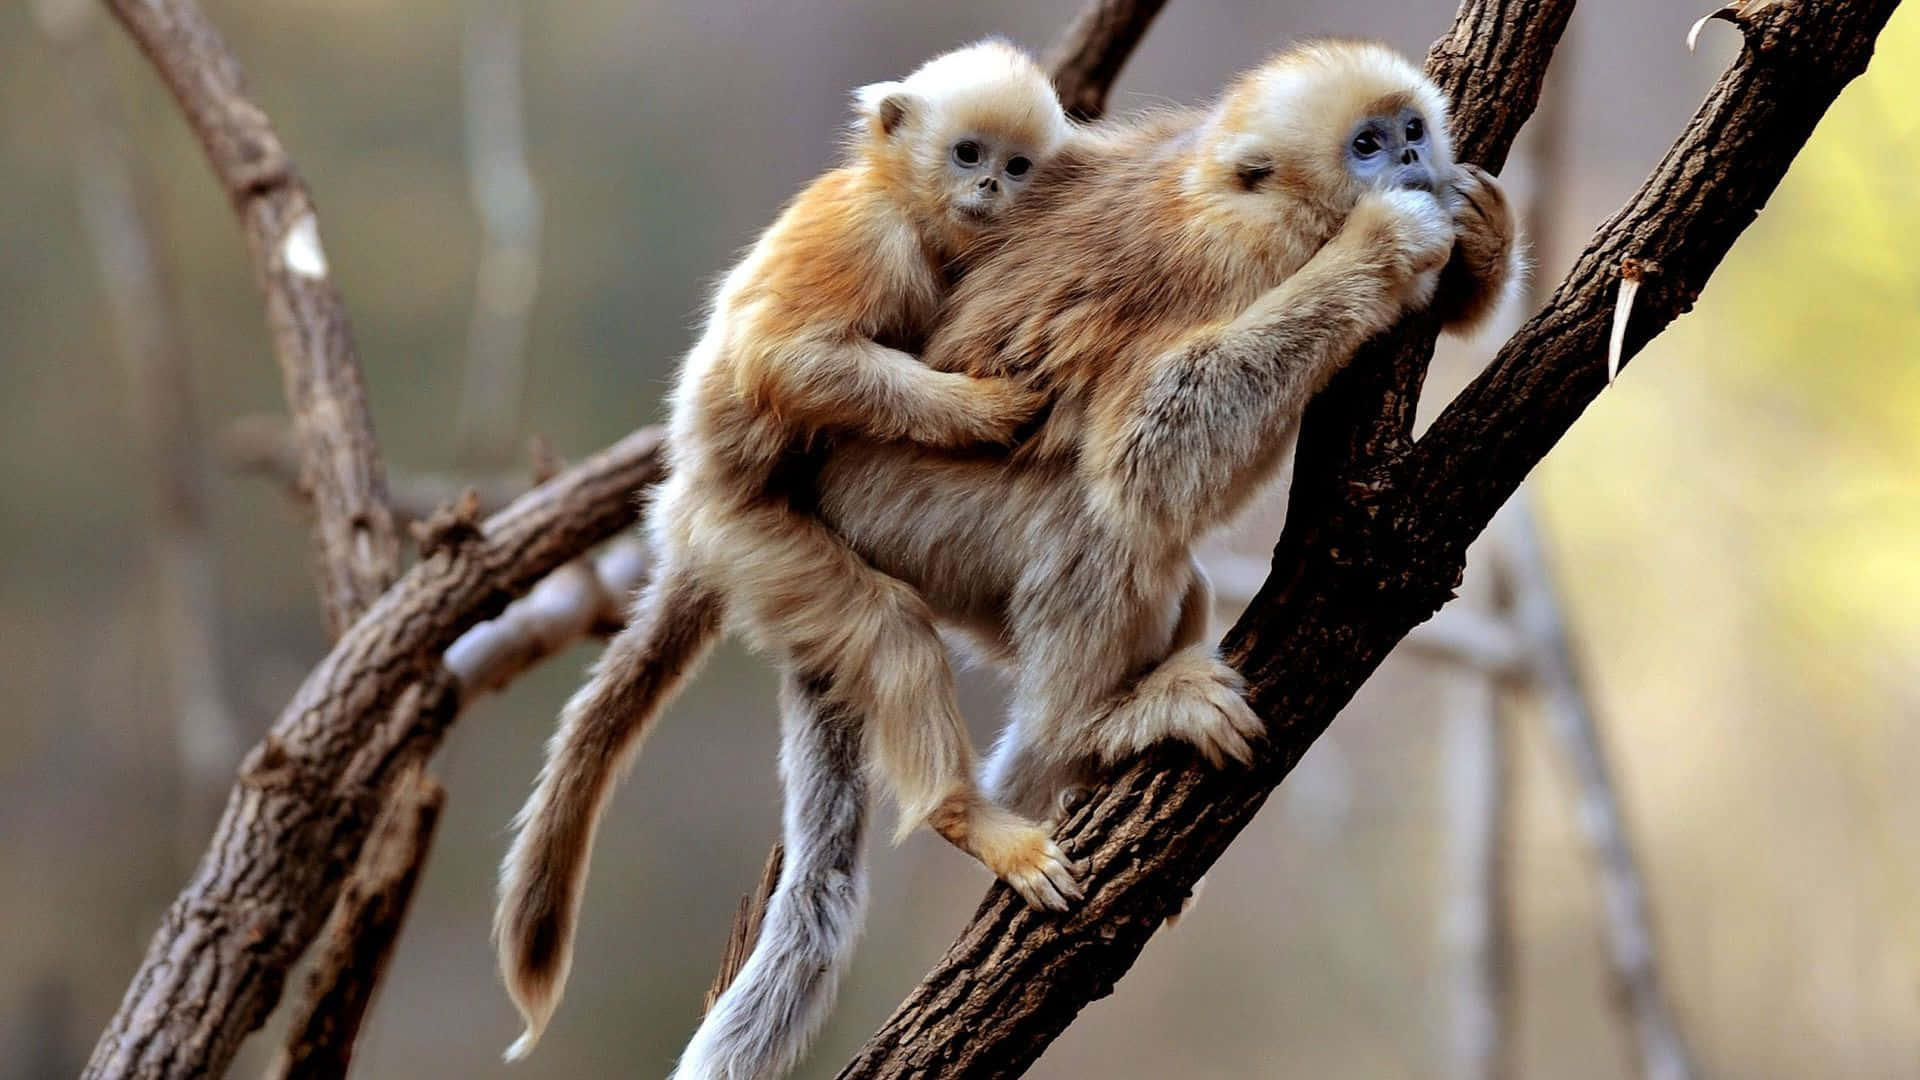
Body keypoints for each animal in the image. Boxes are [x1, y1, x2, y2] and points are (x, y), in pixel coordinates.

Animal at [494, 40, 1078, 1063]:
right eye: (968, 154)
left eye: (1015, 166)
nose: (989, 192)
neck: (914, 215)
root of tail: (685, 512)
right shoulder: (866, 240)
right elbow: (785, 358)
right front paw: (982, 408)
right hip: (755, 542)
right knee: (888, 630)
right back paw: (967, 817)